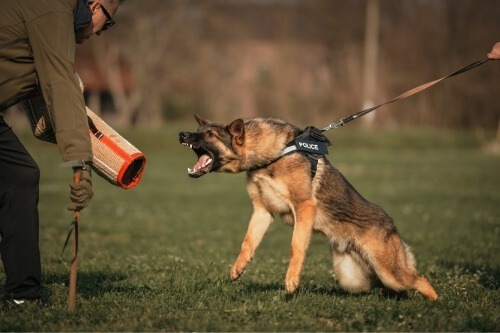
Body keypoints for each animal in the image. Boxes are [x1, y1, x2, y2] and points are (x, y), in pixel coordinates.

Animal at [180, 115, 438, 300]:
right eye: (200, 131)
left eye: (210, 134)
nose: (182, 133)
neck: (272, 155)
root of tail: (391, 225)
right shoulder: (262, 211)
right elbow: (248, 242)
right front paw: (238, 268)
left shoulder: (304, 207)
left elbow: (296, 246)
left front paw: (291, 281)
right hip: (357, 279)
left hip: (390, 272)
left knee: (421, 280)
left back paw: (435, 303)